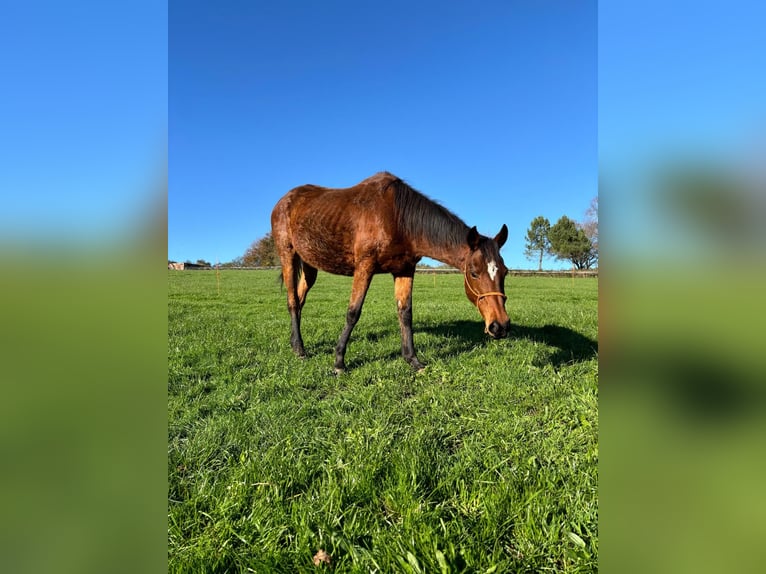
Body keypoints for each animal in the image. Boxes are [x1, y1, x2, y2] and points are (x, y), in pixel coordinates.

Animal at [270, 171, 510, 374]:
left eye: (505, 272)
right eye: (474, 273)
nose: (500, 325)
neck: (396, 217)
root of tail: (284, 200)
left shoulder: (404, 270)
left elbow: (405, 313)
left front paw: (412, 359)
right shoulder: (364, 266)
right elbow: (353, 312)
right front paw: (339, 362)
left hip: (310, 265)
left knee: (300, 299)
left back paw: (295, 343)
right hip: (288, 255)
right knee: (292, 301)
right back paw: (300, 349)